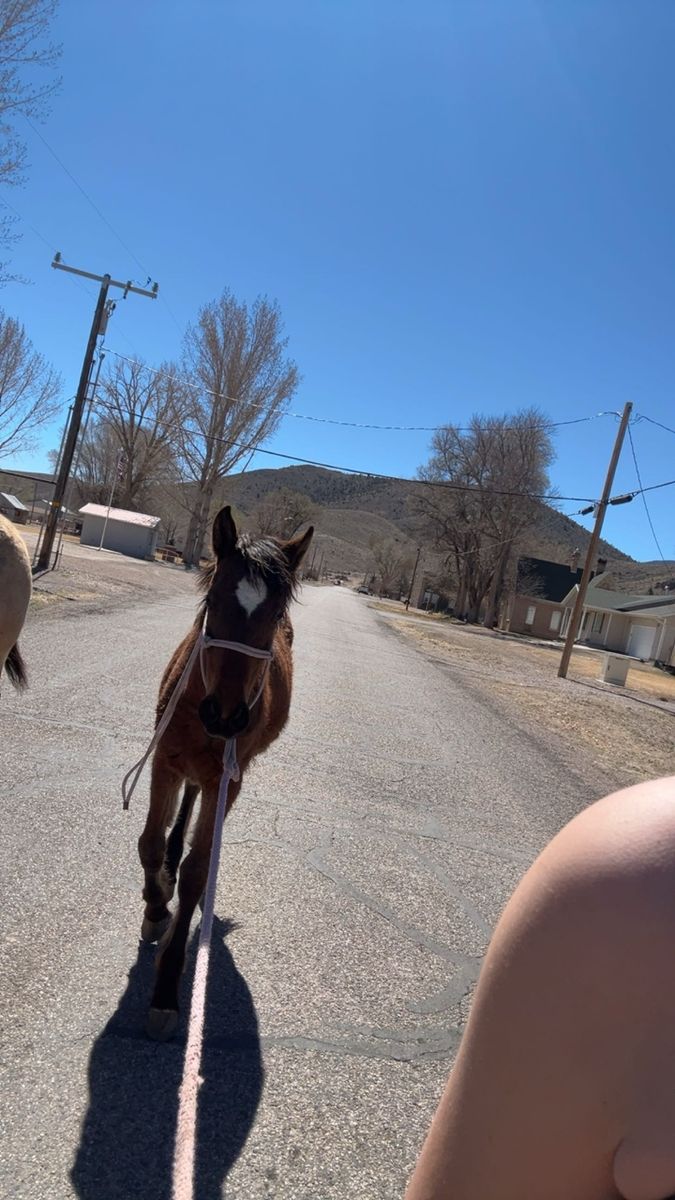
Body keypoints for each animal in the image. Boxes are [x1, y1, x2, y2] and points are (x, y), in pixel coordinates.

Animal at [137, 505, 313, 1039]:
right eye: (213, 599)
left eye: (274, 616)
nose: (226, 716)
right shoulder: (164, 760)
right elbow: (149, 844)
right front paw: (156, 905)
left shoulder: (228, 781)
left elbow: (198, 872)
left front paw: (165, 988)